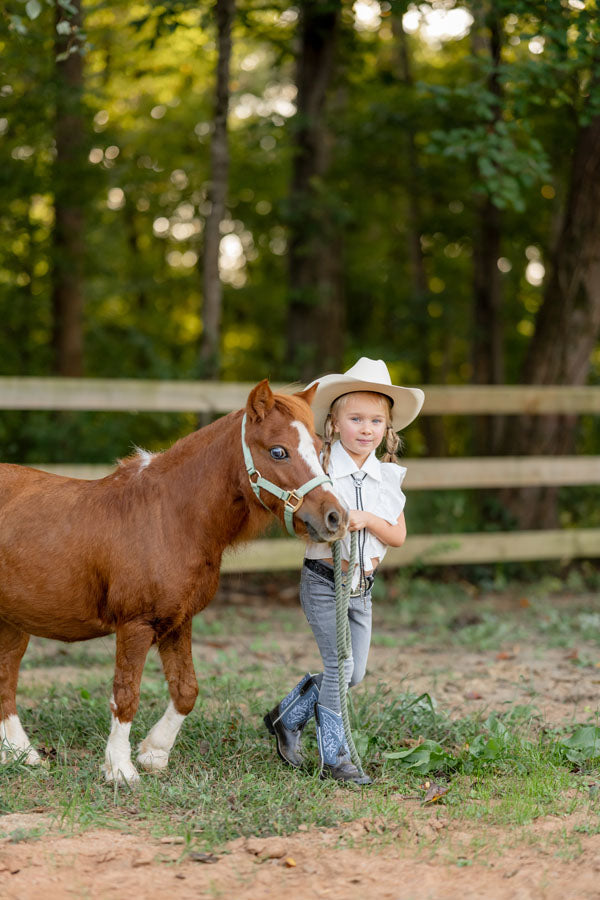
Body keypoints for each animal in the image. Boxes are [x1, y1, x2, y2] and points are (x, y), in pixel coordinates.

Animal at [0, 380, 346, 780]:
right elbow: (126, 695)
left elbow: (186, 690)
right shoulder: (135, 625)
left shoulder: (179, 621)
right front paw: (120, 768)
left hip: (13, 621)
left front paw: (154, 753)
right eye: (278, 451)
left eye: (320, 448)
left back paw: (21, 753)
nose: (336, 517)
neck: (169, 518)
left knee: (6, 677)